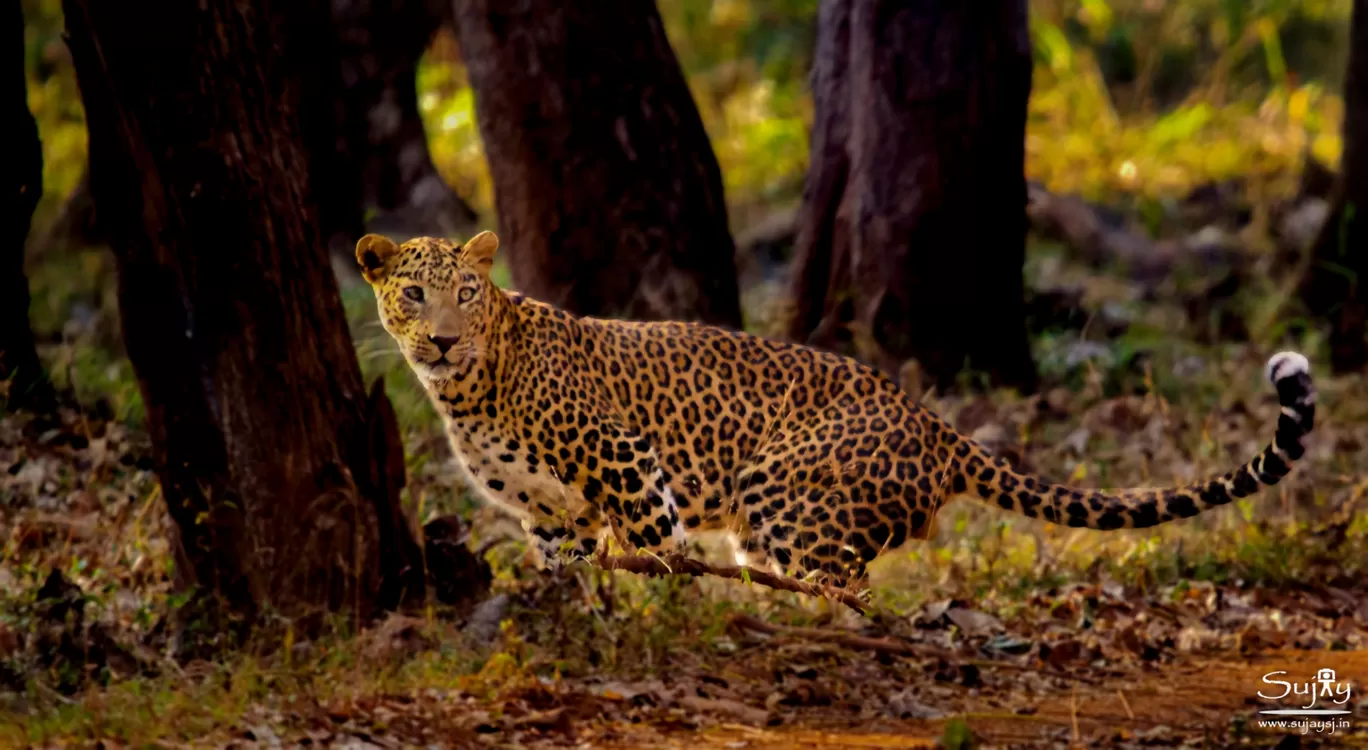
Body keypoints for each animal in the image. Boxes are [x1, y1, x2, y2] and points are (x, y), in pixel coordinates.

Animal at [358, 231, 1318, 588]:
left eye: (467, 295)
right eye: (413, 295)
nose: (440, 340)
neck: (467, 390)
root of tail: (933, 422)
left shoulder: (627, 462)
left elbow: (656, 549)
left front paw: (664, 611)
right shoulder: (546, 511)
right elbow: (566, 566)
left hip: (783, 491)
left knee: (842, 587)